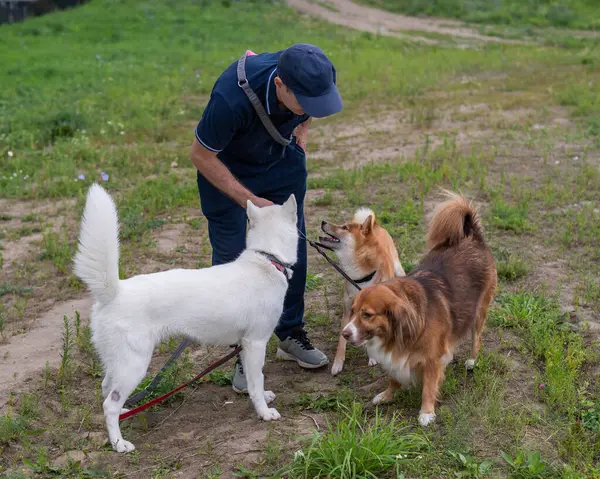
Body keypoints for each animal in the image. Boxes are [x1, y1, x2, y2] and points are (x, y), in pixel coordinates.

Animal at [74, 184, 298, 454]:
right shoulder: (255, 343)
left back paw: (125, 413)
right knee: (109, 405)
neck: (266, 258)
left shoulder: (245, 345)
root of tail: (115, 293)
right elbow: (257, 381)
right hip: (134, 365)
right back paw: (119, 444)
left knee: (107, 391)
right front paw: (264, 412)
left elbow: (256, 382)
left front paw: (263, 398)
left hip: (118, 363)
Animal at [340, 191, 500, 428]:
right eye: (352, 310)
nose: (344, 333)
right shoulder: (397, 358)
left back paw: (472, 360)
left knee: (476, 338)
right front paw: (386, 396)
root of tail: (474, 237)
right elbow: (393, 378)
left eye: (367, 315)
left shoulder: (431, 360)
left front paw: (426, 413)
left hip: (479, 311)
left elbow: (429, 387)